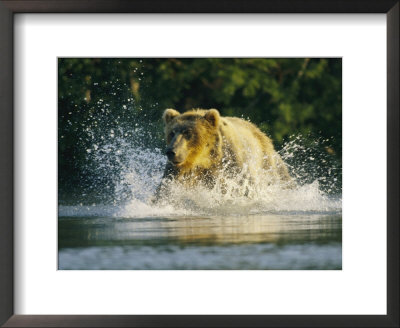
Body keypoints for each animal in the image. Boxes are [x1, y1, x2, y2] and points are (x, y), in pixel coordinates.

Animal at [153, 107, 290, 200]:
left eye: (188, 133)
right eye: (171, 133)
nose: (171, 151)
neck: (204, 159)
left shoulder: (231, 163)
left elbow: (243, 188)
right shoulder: (179, 170)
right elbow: (164, 190)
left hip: (267, 164)